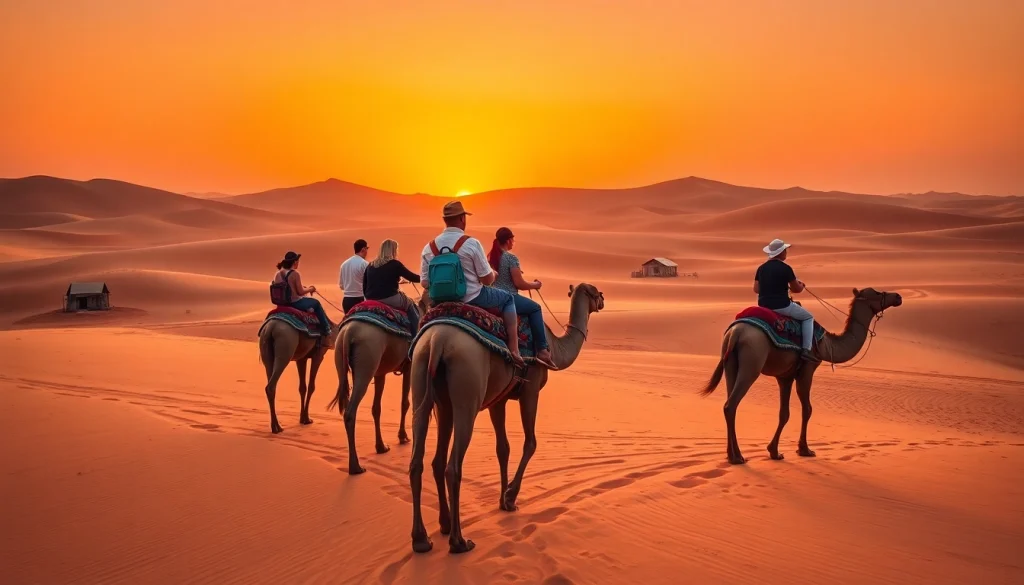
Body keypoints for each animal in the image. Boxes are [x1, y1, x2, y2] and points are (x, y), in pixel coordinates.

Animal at [326, 314, 415, 475]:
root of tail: (349, 333)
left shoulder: (380, 372)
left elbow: (376, 408)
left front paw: (381, 446)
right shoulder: (409, 365)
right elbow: (405, 403)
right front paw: (403, 436)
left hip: (341, 356)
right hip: (367, 358)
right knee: (350, 411)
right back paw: (356, 467)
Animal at [408, 283, 605, 554]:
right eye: (595, 292)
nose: (603, 300)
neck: (554, 347)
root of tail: (438, 340)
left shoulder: (498, 399)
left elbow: (503, 448)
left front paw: (503, 501)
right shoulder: (531, 387)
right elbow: (530, 443)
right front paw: (511, 496)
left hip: (425, 379)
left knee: (424, 459)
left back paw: (426, 536)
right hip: (467, 388)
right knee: (452, 466)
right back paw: (459, 541)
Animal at [700, 287, 903, 464]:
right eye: (877, 292)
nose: (898, 296)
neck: (825, 344)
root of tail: (736, 332)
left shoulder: (785, 377)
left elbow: (784, 413)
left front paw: (774, 451)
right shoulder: (807, 369)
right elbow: (807, 410)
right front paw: (805, 449)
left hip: (730, 363)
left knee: (729, 404)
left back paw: (733, 455)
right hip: (752, 363)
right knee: (731, 404)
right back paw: (737, 458)